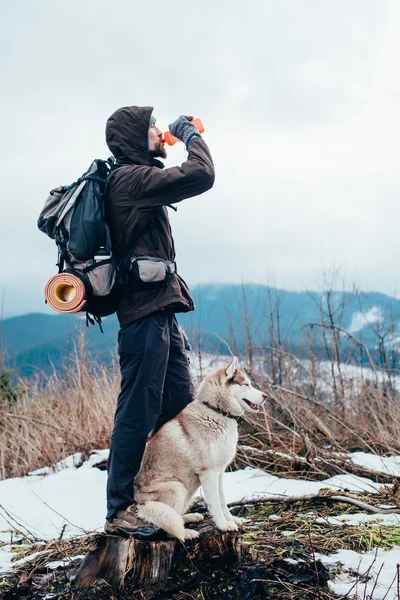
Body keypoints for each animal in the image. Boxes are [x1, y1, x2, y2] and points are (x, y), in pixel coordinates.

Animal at [134, 356, 266, 544]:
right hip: (177, 488)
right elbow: (215, 503)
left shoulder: (219, 472)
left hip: (187, 492)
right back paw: (187, 533)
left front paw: (232, 520)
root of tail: (140, 505)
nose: (265, 396)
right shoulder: (208, 473)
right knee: (167, 528)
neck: (217, 411)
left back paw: (190, 517)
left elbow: (223, 500)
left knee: (175, 517)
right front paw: (223, 525)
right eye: (246, 384)